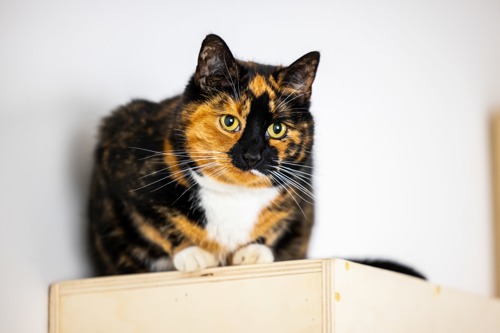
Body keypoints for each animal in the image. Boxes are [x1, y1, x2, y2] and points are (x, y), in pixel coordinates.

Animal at [88, 33, 318, 274]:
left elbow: (280, 224)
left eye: (277, 129)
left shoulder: (301, 191)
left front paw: (254, 251)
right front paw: (192, 254)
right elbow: (156, 223)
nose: (252, 156)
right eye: (229, 121)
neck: (234, 195)